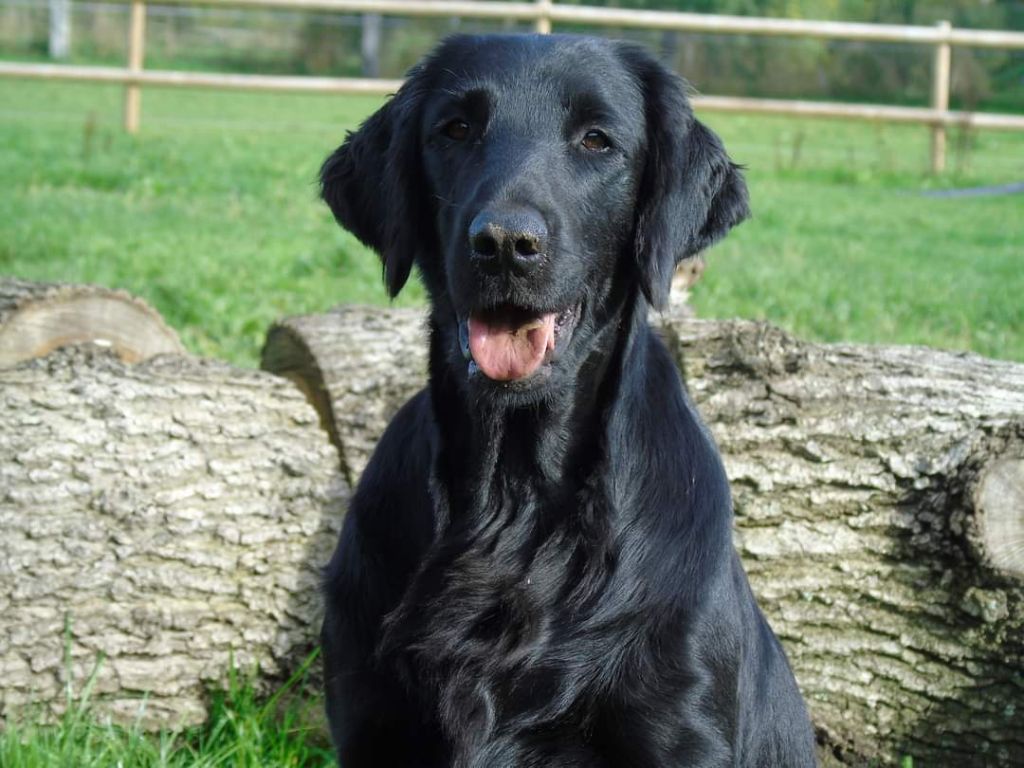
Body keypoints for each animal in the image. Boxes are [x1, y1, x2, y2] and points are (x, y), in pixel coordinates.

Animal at [319, 34, 815, 768]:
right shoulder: (369, 714)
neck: (514, 494)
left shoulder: (680, 723)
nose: (505, 244)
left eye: (596, 140)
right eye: (455, 129)